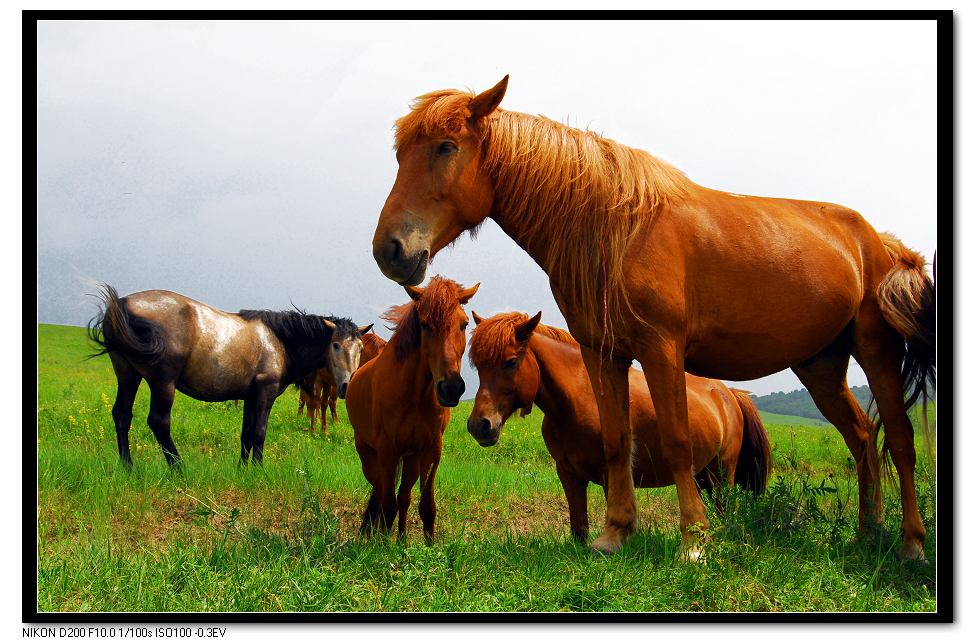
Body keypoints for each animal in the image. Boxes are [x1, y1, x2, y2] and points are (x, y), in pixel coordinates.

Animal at [88, 284, 370, 466]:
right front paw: (258, 470)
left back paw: (127, 467)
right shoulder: (265, 392)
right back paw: (178, 469)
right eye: (336, 345)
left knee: (122, 415)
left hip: (127, 374)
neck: (279, 341)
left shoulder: (249, 397)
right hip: (163, 382)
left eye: (360, 348)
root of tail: (123, 304)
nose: (347, 386)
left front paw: (243, 470)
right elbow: (259, 432)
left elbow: (246, 434)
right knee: (159, 422)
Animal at [346, 276, 480, 544]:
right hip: (368, 453)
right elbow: (387, 504)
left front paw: (428, 547)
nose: (451, 388)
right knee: (380, 492)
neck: (414, 395)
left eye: (464, 324)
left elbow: (426, 506)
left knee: (403, 496)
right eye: (425, 325)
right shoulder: (387, 450)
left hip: (411, 458)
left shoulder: (431, 449)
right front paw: (383, 546)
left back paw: (401, 539)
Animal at [468, 312, 772, 544]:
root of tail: (730, 393)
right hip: (701, 474)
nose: (478, 425)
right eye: (478, 366)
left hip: (723, 472)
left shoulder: (609, 473)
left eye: (510, 361)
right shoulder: (568, 474)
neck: (578, 398)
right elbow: (579, 531)